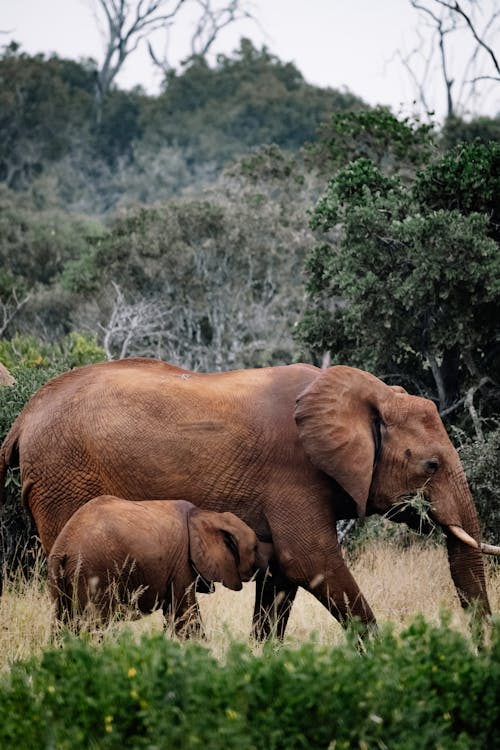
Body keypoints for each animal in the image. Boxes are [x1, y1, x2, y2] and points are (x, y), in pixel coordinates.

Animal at [48, 496, 272, 636]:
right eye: (255, 547)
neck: (207, 515)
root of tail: (64, 546)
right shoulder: (182, 564)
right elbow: (185, 616)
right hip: (95, 573)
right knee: (97, 625)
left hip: (60, 576)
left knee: (61, 622)